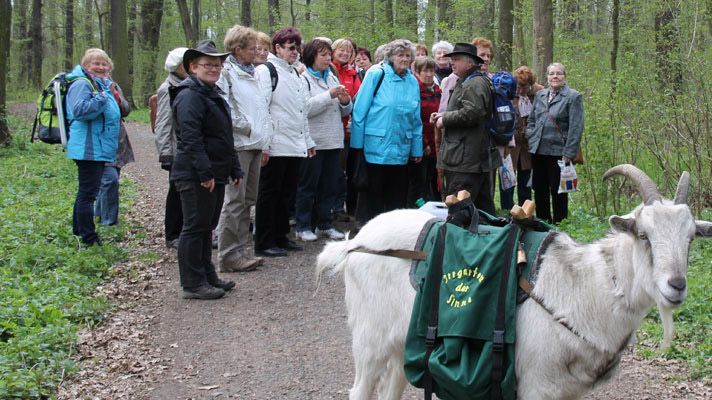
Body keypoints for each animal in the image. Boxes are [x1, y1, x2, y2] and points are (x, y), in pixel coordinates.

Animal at [318, 166, 712, 400]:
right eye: (644, 236)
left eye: (691, 238)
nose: (677, 286)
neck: (585, 289)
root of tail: (358, 240)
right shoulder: (535, 385)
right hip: (369, 339)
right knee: (360, 389)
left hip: (404, 340)